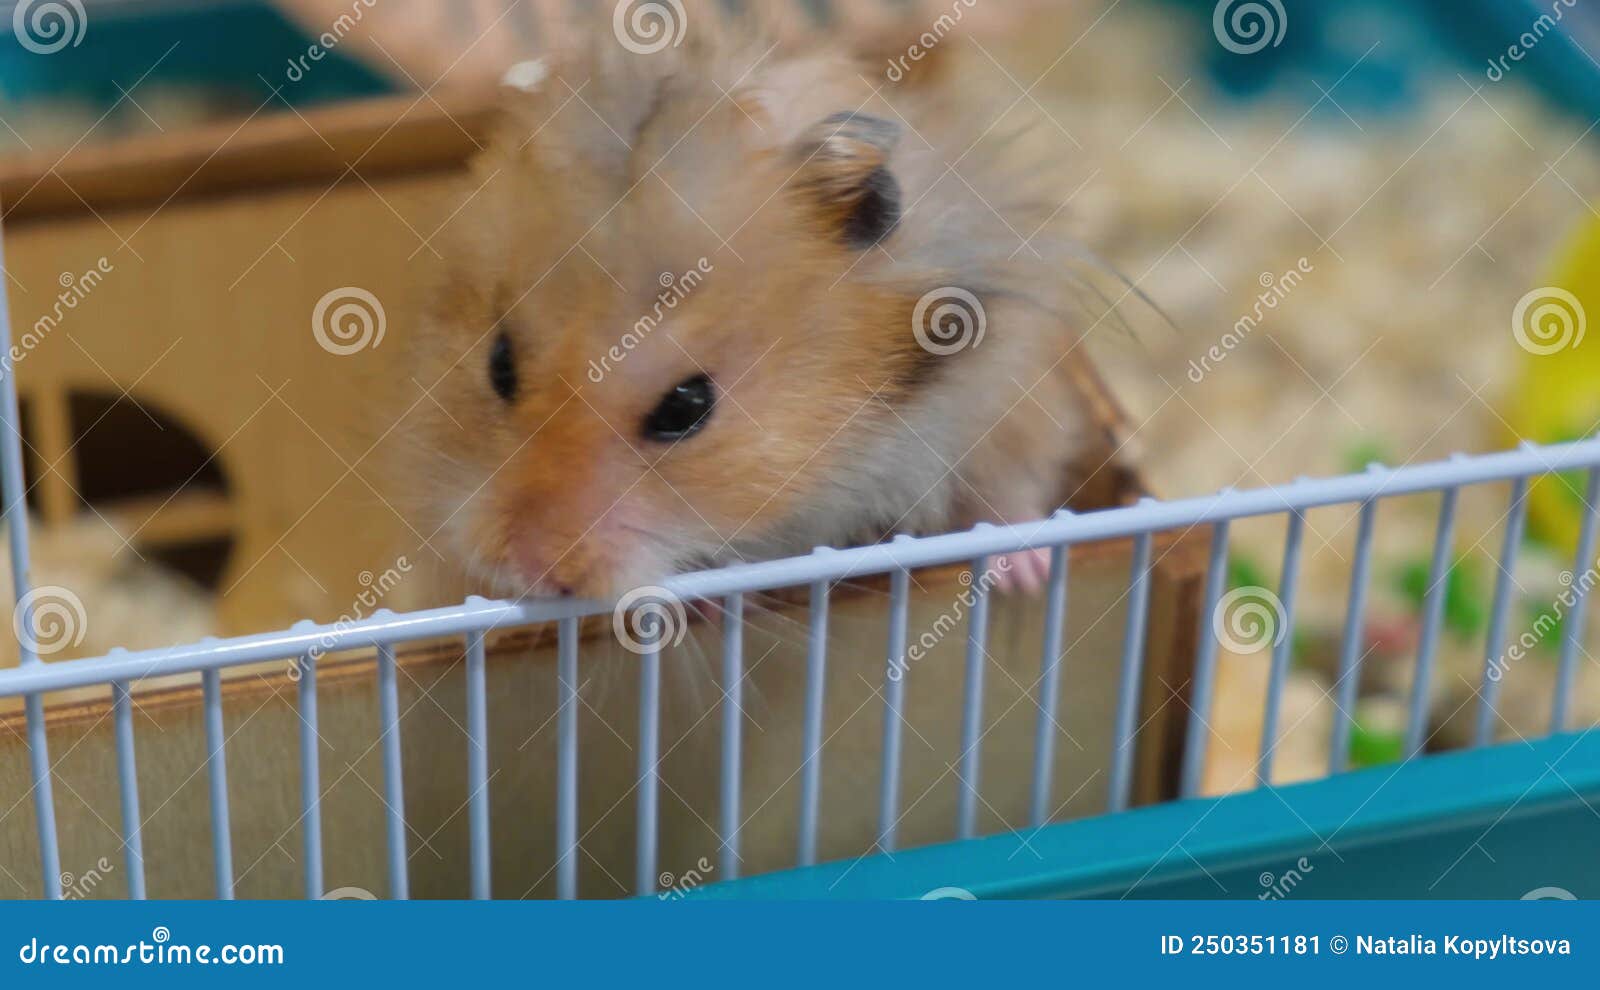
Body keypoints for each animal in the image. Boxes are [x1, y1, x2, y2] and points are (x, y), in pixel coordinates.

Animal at [404, 27, 1119, 602]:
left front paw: (1025, 579)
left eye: (687, 407)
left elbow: (1007, 496)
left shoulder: (1009, 398)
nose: (529, 570)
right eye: (499, 366)